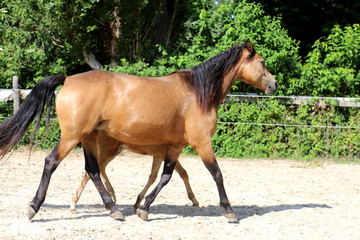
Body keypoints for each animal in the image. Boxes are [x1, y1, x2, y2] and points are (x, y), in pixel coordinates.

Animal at [70, 129, 200, 212]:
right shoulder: (165, 154)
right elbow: (183, 173)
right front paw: (194, 200)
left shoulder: (158, 155)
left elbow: (152, 177)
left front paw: (137, 202)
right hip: (109, 150)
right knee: (91, 172)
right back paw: (74, 204)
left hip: (115, 150)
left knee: (101, 168)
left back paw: (112, 197)